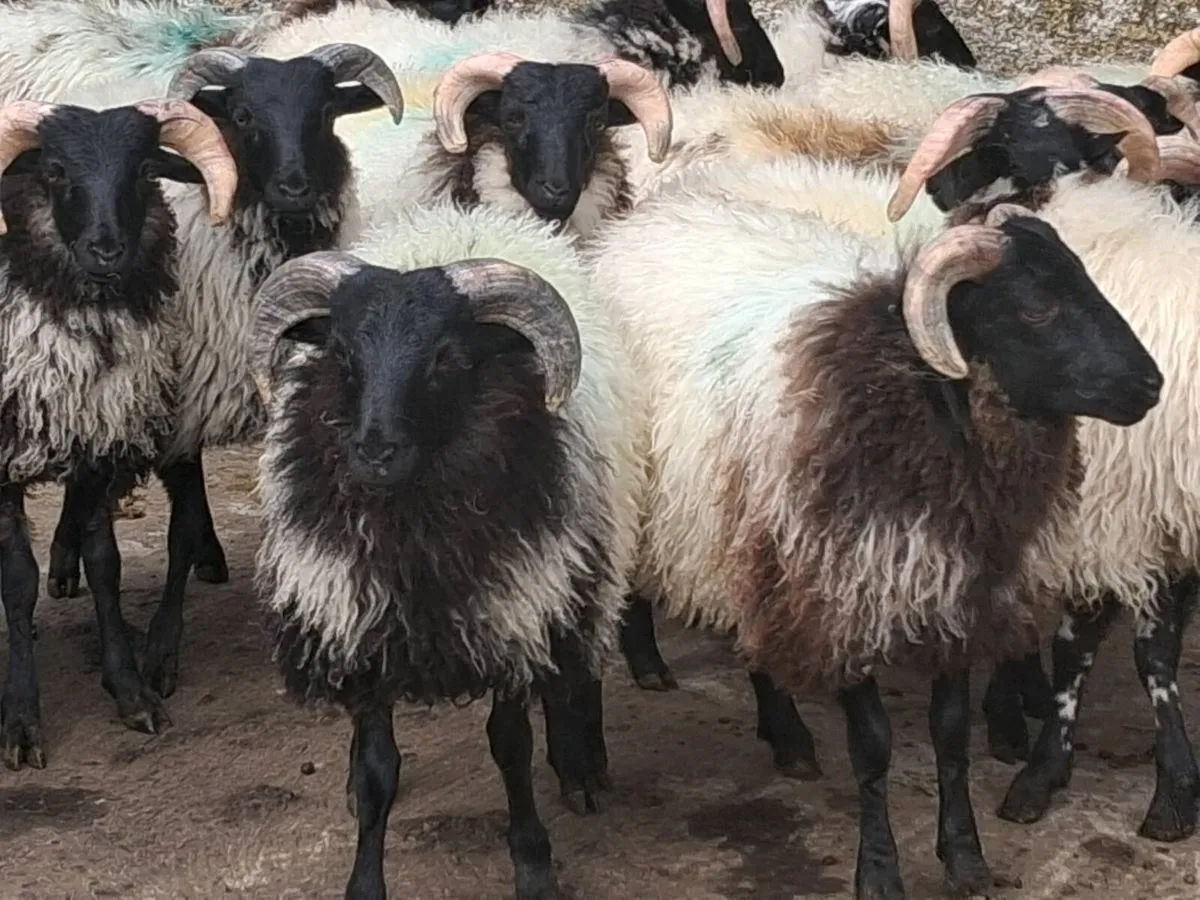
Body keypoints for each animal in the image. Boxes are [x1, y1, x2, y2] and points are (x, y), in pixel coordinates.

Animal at [0, 96, 236, 767]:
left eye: (143, 169)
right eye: (54, 171)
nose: (107, 249)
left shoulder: (94, 444)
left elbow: (105, 563)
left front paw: (130, 691)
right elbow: (17, 582)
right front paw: (22, 723)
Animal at [45, 42, 405, 705]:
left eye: (325, 110)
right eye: (242, 115)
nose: (295, 186)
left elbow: (190, 528)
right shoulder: (174, 399)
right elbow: (175, 527)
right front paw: (160, 655)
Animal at [248, 201, 642, 900]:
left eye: (446, 358)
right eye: (342, 353)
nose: (374, 450)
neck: (412, 535)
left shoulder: (515, 612)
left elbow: (510, 747)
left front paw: (534, 865)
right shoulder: (361, 626)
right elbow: (378, 768)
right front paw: (364, 879)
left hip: (583, 559)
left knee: (574, 664)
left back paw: (580, 767)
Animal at [586, 158, 1162, 897]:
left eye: (1085, 278)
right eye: (1036, 308)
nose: (1150, 385)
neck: (923, 400)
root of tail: (643, 223)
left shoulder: (958, 597)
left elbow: (951, 735)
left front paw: (965, 856)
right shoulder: (846, 598)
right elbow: (874, 748)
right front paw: (881, 870)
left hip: (747, 531)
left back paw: (787, 736)